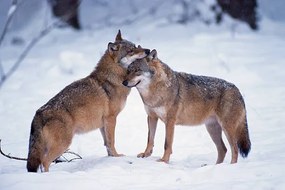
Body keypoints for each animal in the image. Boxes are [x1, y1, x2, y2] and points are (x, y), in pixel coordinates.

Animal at [26, 30, 150, 172]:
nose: (147, 50)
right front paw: (118, 157)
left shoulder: (103, 124)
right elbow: (112, 142)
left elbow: (107, 144)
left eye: (135, 46)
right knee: (45, 162)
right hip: (63, 144)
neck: (113, 79)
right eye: (131, 50)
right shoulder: (111, 118)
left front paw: (111, 159)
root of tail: (38, 113)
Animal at [122, 49, 251, 164]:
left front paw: (164, 161)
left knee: (234, 149)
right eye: (128, 70)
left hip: (227, 128)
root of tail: (237, 90)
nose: (124, 83)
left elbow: (167, 144)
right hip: (212, 129)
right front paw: (146, 154)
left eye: (138, 70)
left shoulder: (170, 121)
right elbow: (150, 139)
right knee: (223, 149)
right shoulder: (151, 117)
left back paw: (230, 166)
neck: (155, 91)